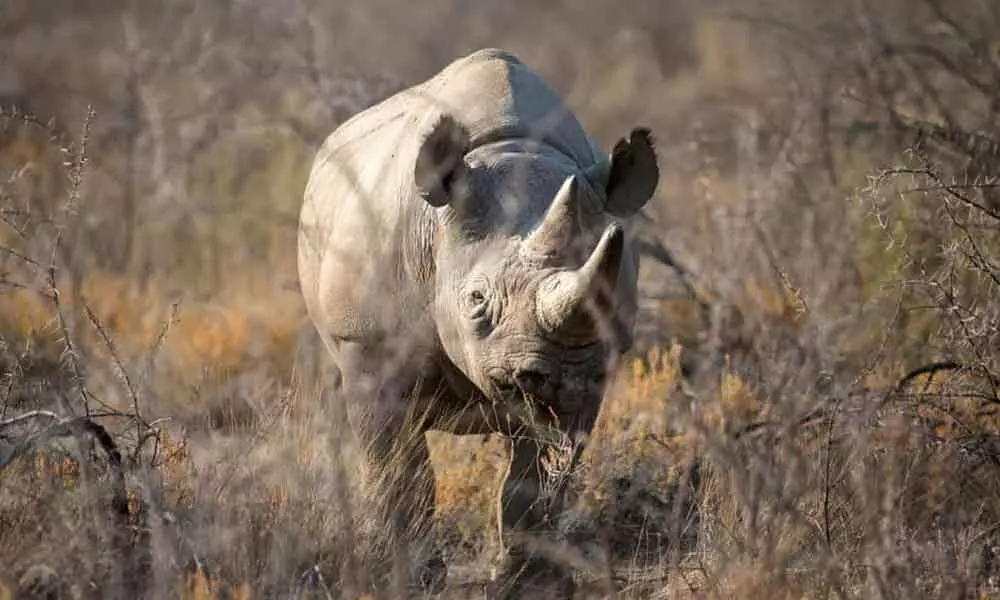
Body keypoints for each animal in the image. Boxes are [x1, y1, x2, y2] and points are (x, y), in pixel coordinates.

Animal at [296, 49, 656, 596]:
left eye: (608, 301)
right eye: (476, 299)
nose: (552, 373)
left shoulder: (596, 371)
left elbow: (536, 480)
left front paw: (527, 584)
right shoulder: (366, 344)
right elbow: (403, 475)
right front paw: (416, 581)